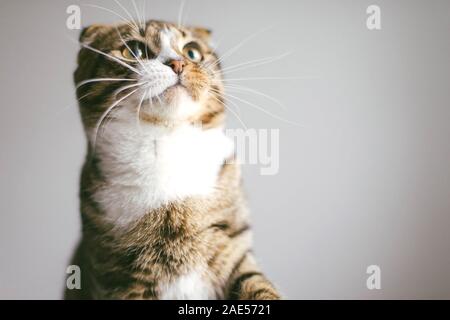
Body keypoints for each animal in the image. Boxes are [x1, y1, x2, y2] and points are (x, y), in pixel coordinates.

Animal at [65, 20, 280, 300]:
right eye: (134, 50)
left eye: (192, 52)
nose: (178, 63)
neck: (166, 142)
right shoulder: (118, 278)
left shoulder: (234, 247)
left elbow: (257, 286)